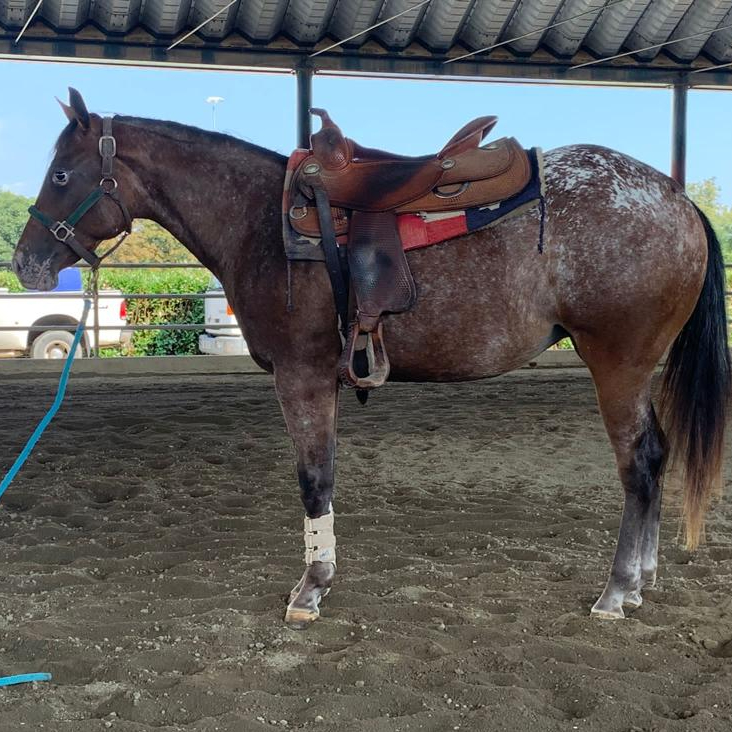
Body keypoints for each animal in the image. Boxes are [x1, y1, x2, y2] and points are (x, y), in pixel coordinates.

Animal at [12, 89, 730, 629]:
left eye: (60, 174)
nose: (25, 263)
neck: (258, 222)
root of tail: (677, 200)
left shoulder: (301, 378)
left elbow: (314, 479)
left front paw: (311, 587)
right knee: (656, 457)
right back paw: (641, 578)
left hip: (618, 367)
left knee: (638, 464)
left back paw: (617, 590)